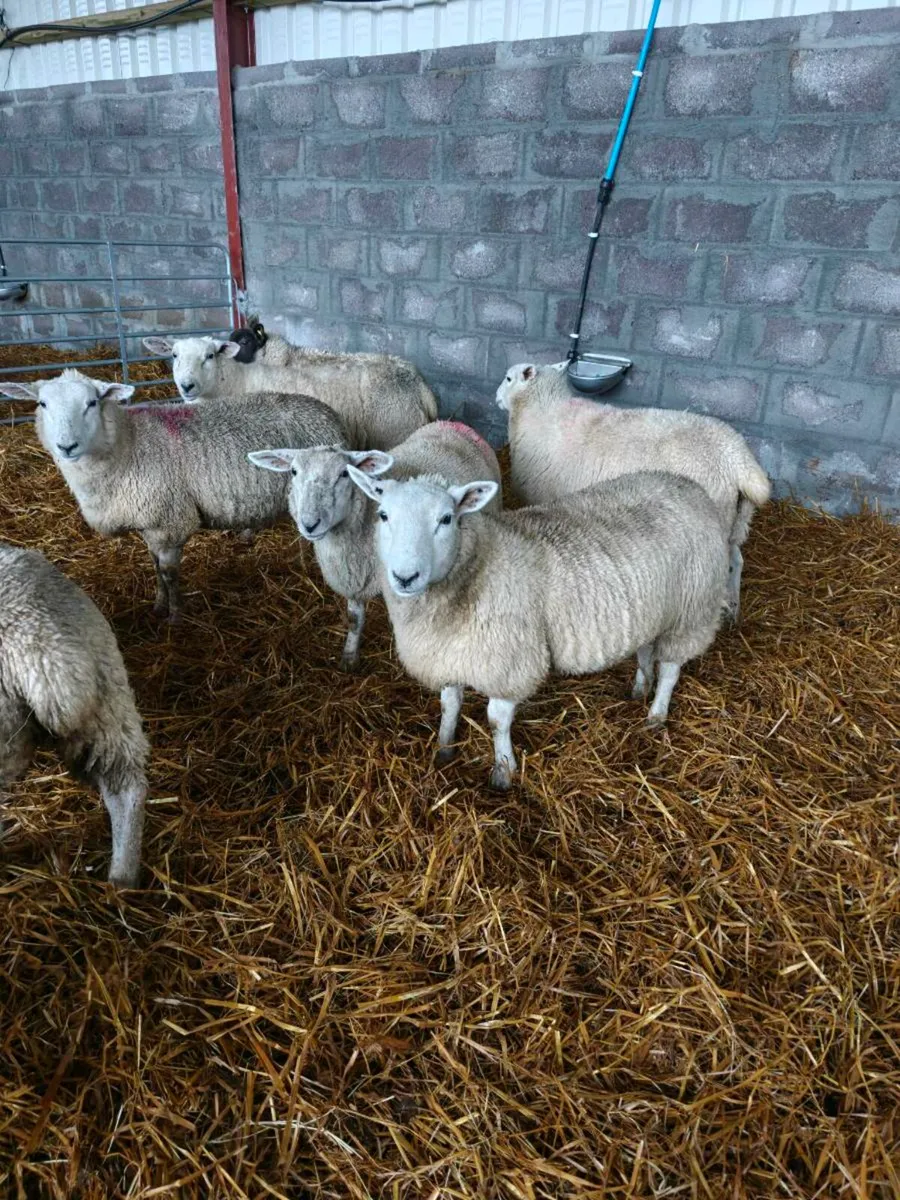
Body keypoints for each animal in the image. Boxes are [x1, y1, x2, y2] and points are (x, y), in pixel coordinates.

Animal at [1, 369, 346, 621]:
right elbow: (154, 567)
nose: (66, 446)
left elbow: (168, 573)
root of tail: (326, 411)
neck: (127, 447)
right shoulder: (150, 524)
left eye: (92, 403)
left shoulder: (169, 522)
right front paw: (158, 605)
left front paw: (176, 615)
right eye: (42, 404)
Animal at [142, 332, 439, 451]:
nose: (187, 386)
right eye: (174, 355)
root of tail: (418, 381)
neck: (233, 380)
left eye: (210, 356)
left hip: (395, 432)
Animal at [248, 421, 502, 670]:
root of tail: (453, 423)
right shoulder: (353, 580)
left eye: (343, 473)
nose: (310, 524)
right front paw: (349, 656)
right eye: (293, 471)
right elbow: (354, 619)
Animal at [347, 468, 729, 790]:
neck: (480, 567)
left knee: (671, 669)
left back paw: (656, 714)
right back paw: (639, 689)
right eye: (383, 515)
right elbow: (449, 705)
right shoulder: (450, 653)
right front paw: (444, 749)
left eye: (446, 519)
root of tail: (688, 485)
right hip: (655, 610)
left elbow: (496, 720)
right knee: (647, 649)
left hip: (691, 611)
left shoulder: (509, 661)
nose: (405, 577)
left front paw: (503, 772)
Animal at [495, 363, 771, 622]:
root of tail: (736, 457)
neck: (542, 409)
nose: (496, 397)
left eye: (508, 378)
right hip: (735, 521)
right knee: (736, 560)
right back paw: (733, 610)